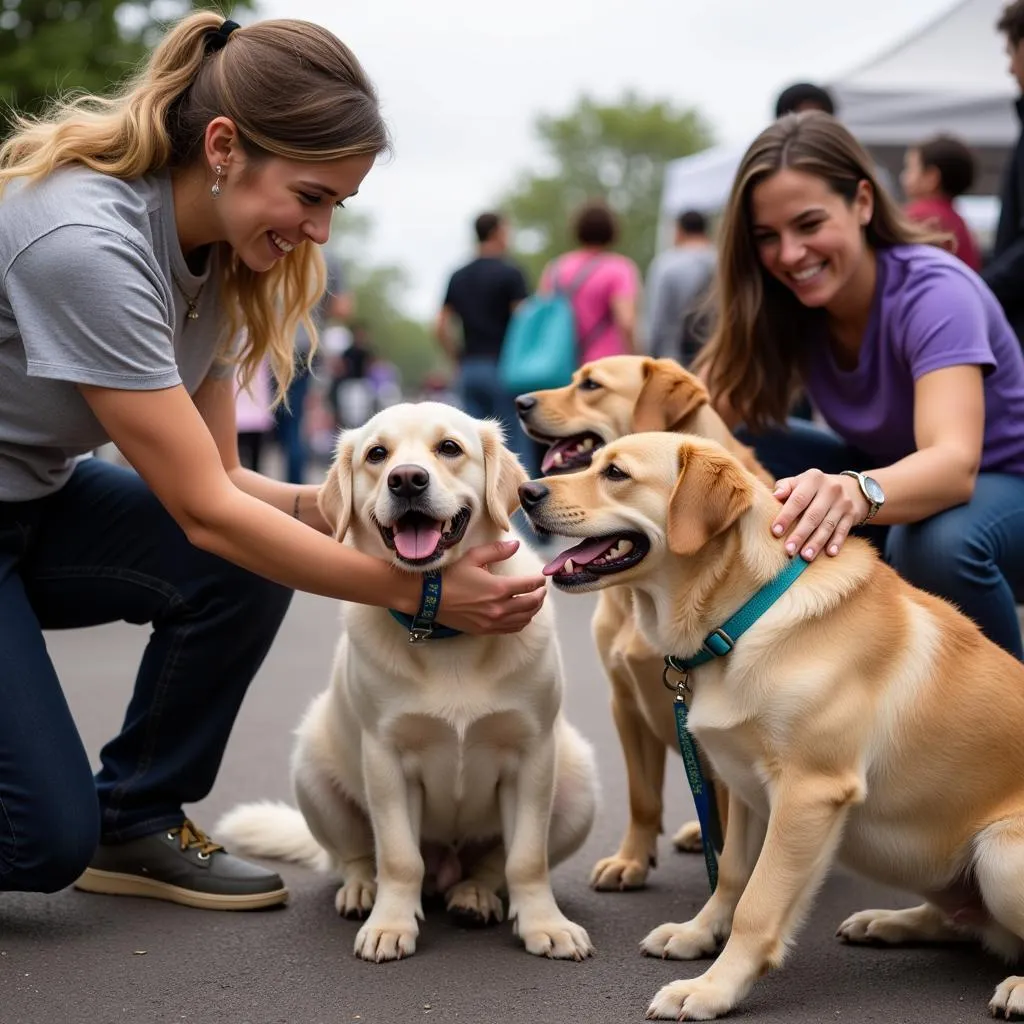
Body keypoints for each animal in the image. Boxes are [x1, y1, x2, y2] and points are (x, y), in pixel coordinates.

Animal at [219, 403, 598, 962]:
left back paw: (474, 895)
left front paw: (545, 924)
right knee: (356, 857)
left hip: (578, 783)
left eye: (449, 448)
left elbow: (526, 859)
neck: (445, 631)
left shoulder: (533, 754)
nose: (407, 480)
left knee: (490, 867)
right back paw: (362, 891)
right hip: (312, 770)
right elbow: (399, 858)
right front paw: (390, 925)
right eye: (378, 454)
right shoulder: (386, 758)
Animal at [516, 354, 770, 888]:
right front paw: (631, 859)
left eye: (590, 385)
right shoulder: (625, 703)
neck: (642, 599)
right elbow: (642, 796)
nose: (519, 401)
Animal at [520, 428, 1024, 1019]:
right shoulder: (743, 781)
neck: (744, 617)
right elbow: (733, 876)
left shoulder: (809, 792)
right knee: (964, 923)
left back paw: (1016, 985)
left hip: (999, 853)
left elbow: (757, 905)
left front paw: (712, 989)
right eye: (594, 460)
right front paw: (698, 935)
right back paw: (887, 922)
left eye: (616, 473)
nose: (526, 491)